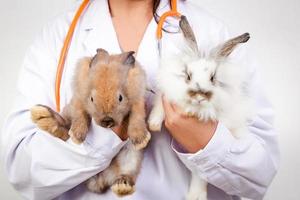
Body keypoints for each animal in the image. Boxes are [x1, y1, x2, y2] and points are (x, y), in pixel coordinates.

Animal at [31, 49, 150, 196]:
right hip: (67, 111)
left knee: (126, 173)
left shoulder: (138, 102)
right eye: (92, 99)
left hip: (130, 158)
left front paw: (140, 139)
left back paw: (122, 185)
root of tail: (101, 178)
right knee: (64, 129)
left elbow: (137, 117)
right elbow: (80, 115)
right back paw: (43, 116)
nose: (107, 120)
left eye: (120, 98)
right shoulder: (78, 99)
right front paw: (77, 135)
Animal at [148, 16, 253, 200]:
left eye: (212, 78)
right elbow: (159, 108)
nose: (199, 96)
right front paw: (153, 126)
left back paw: (195, 196)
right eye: (188, 76)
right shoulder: (166, 93)